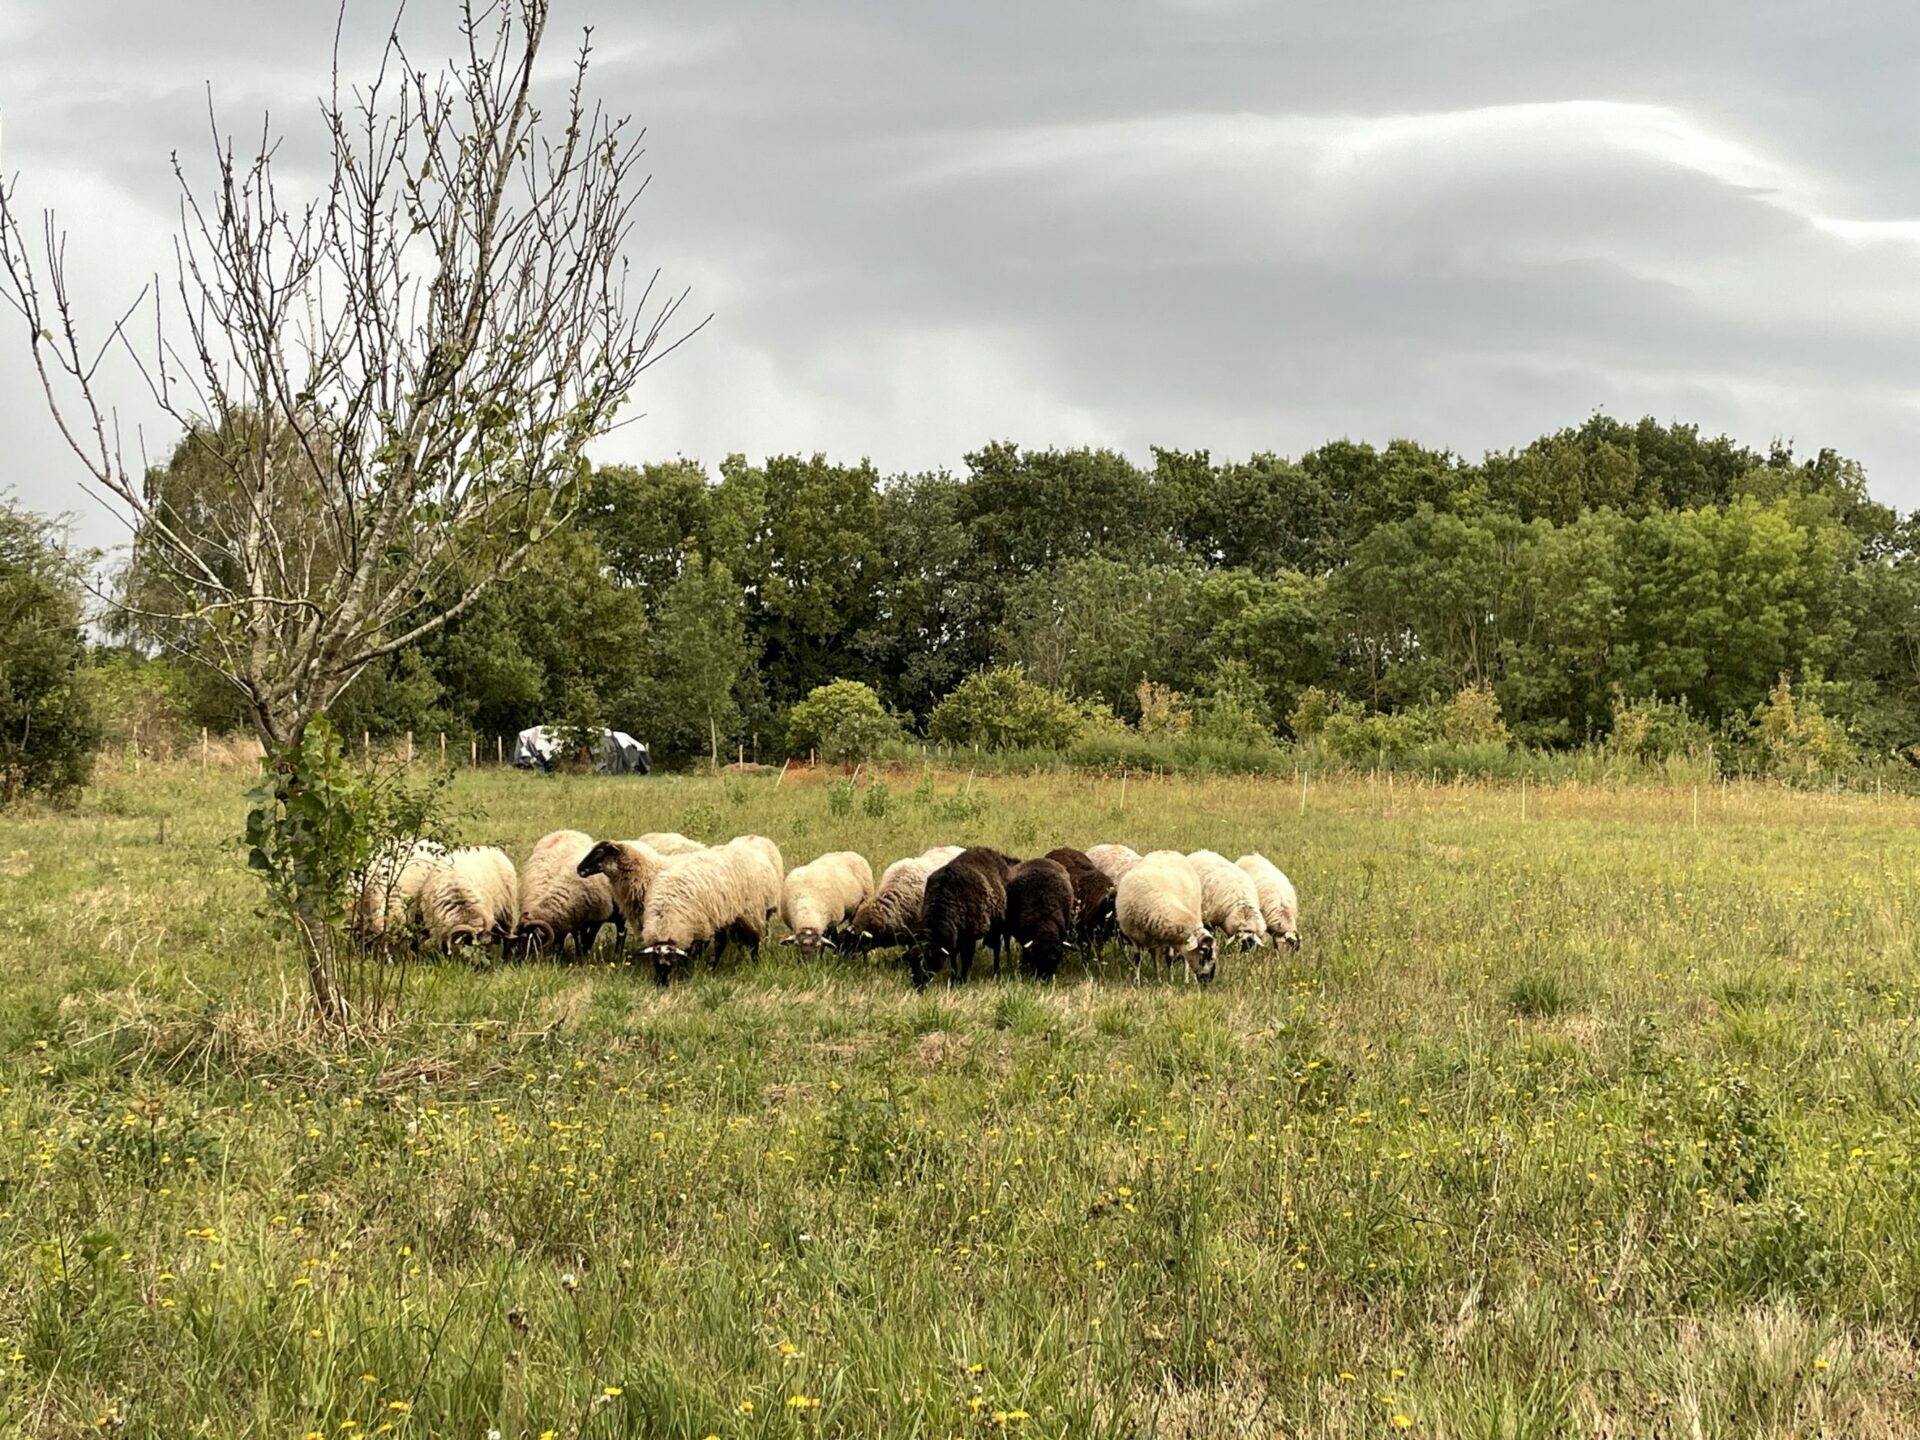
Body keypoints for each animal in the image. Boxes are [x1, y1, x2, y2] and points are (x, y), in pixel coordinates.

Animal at [641, 840, 783, 990]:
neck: (665, 918)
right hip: (726, 916)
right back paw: (712, 966)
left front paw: (688, 971)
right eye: (655, 963)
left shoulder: (699, 927)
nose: (662, 985)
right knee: (723, 943)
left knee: (754, 940)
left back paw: (754, 963)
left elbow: (694, 952)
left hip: (751, 913)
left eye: (670, 962)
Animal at [1113, 852, 1213, 990]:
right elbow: (1139, 959)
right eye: (1202, 954)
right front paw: (1138, 982)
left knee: (1184, 961)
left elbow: (1169, 958)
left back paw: (1187, 979)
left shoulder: (1168, 938)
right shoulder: (1134, 937)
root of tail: (1167, 851)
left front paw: (1170, 979)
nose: (1208, 980)